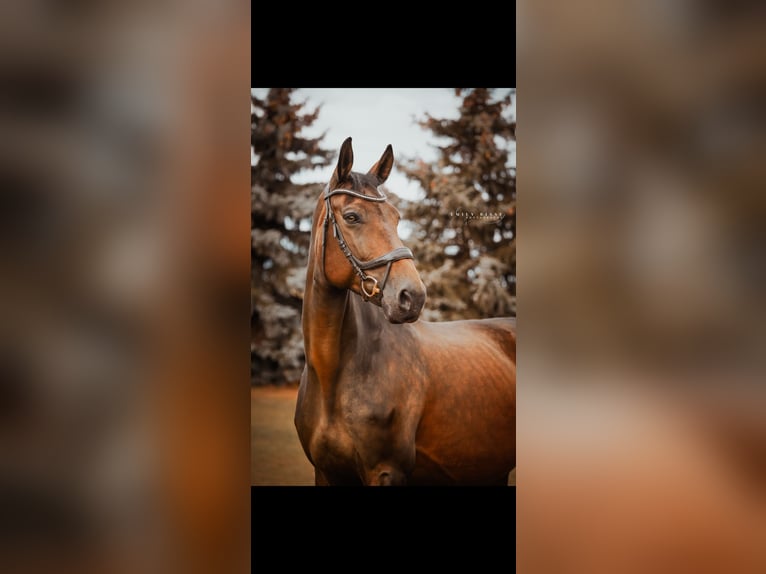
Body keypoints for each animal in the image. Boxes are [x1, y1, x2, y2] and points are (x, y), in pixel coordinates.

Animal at [294, 138, 516, 486]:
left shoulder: (386, 471)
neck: (331, 375)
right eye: (352, 216)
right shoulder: (325, 472)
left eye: (397, 217)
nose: (412, 296)